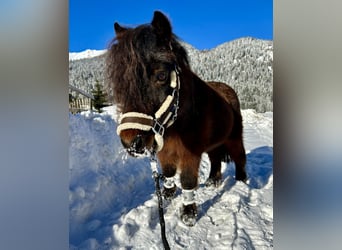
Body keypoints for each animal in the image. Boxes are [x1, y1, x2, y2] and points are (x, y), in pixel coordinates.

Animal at [106, 11, 246, 227]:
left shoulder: (191, 153)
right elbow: (169, 171)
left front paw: (188, 213)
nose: (131, 143)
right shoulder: (164, 149)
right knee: (215, 158)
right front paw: (168, 193)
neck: (178, 120)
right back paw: (213, 180)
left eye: (161, 76)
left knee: (240, 157)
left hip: (234, 138)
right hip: (214, 143)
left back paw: (241, 182)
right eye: (119, 80)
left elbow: (187, 180)